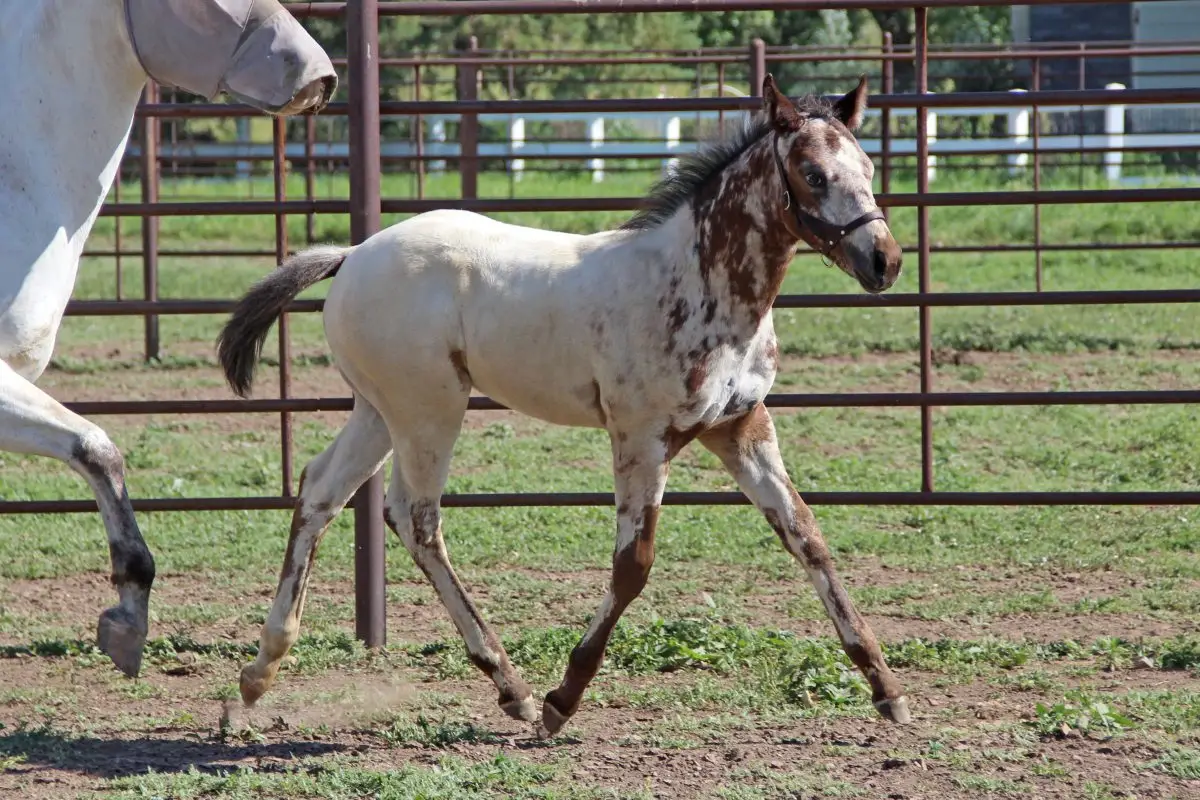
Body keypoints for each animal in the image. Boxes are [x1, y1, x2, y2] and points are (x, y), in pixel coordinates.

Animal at [217, 74, 912, 736]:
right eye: (813, 173)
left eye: (869, 168)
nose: (884, 260)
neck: (699, 285)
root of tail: (352, 254)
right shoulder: (641, 436)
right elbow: (632, 567)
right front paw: (563, 699)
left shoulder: (741, 427)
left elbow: (807, 536)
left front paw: (886, 688)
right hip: (428, 409)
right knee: (415, 518)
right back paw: (513, 687)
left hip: (378, 411)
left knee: (320, 491)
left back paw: (259, 674)